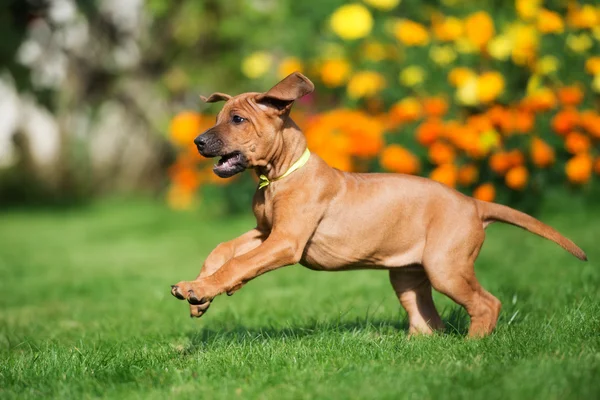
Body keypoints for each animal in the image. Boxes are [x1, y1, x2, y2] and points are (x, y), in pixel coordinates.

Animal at [169, 72, 584, 338]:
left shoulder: (286, 241)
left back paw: (473, 347)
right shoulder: (265, 232)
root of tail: (473, 203)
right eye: (218, 117)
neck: (279, 176)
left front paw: (202, 289)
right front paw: (199, 293)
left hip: (446, 267)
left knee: (487, 304)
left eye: (237, 119)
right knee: (428, 323)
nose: (198, 142)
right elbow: (225, 249)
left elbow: (239, 262)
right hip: (408, 275)